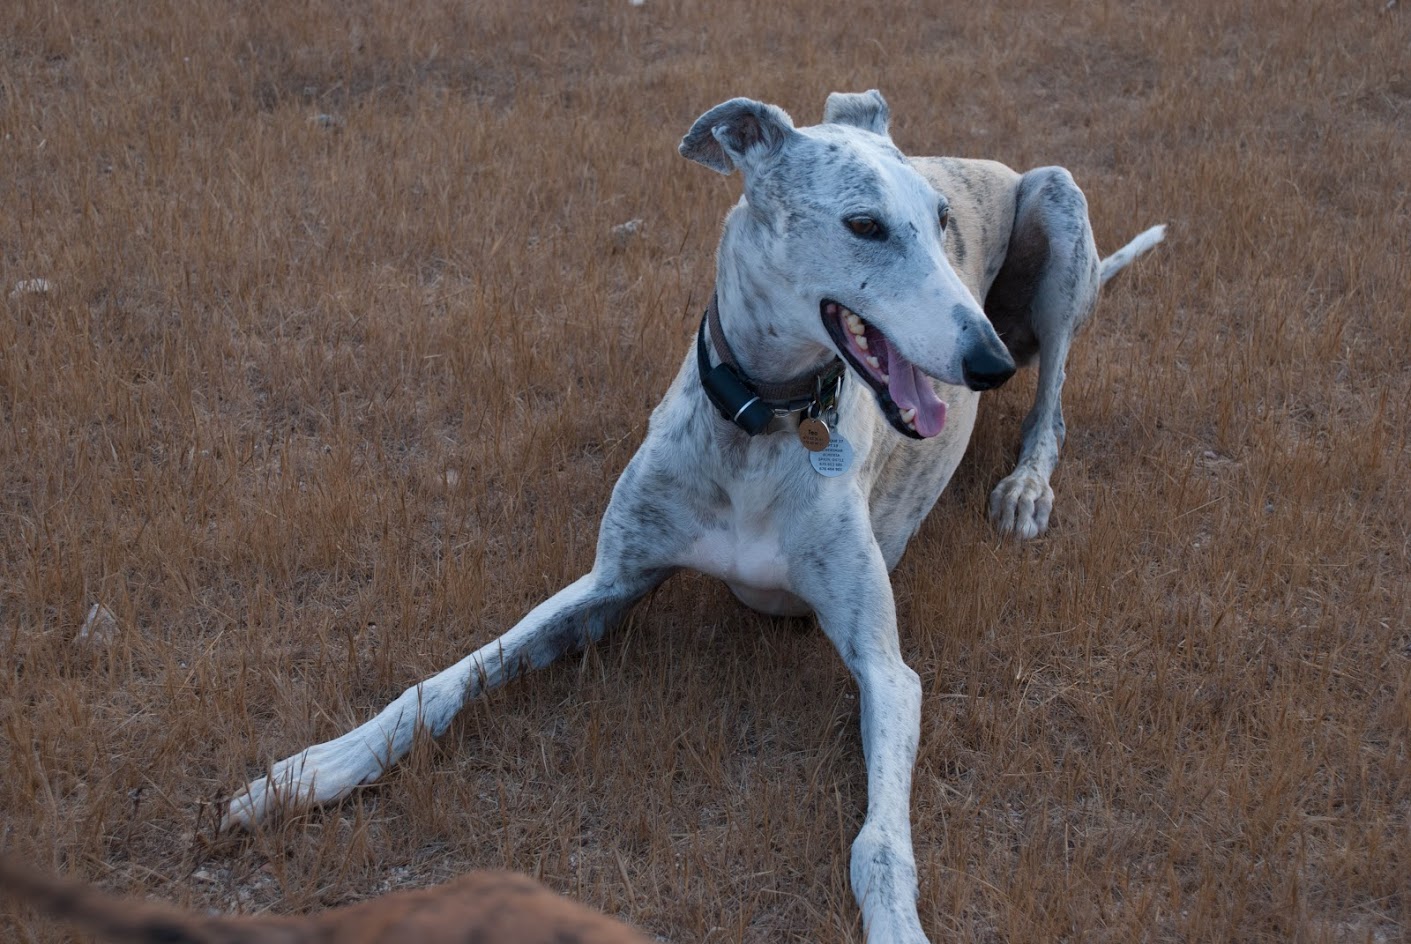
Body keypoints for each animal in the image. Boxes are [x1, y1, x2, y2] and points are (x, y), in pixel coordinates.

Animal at [222, 90, 1164, 942]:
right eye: (864, 226)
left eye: (939, 222)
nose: (985, 363)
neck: (764, 422)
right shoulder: (609, 581)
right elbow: (444, 679)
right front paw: (308, 771)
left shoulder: (886, 669)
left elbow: (879, 845)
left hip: (1056, 216)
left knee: (1053, 405)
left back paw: (1026, 485)